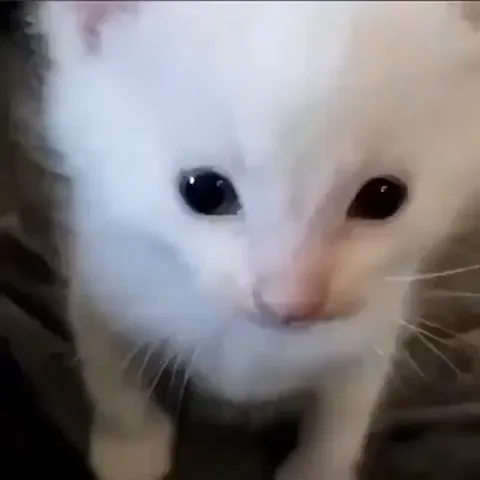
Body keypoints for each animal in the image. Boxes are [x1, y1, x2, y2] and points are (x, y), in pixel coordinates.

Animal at [29, 2, 480, 479]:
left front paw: (316, 468)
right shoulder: (102, 272)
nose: (291, 303)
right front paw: (130, 446)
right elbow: (110, 374)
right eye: (205, 192)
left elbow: (343, 415)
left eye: (384, 197)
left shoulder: (374, 325)